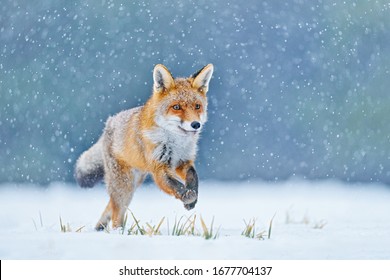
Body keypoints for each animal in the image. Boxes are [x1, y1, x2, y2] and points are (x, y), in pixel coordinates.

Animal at [74, 63, 213, 230]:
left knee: (111, 207)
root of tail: (109, 123)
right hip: (124, 186)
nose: (196, 124)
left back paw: (99, 228)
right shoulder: (159, 168)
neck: (175, 142)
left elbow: (193, 177)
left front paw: (192, 196)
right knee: (116, 215)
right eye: (177, 107)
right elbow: (175, 186)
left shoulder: (183, 161)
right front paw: (187, 196)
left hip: (134, 183)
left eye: (197, 106)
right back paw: (117, 232)